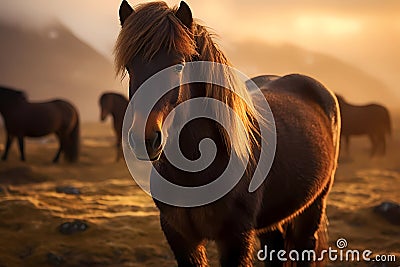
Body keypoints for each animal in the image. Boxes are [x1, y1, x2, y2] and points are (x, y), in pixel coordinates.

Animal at [114, 1, 340, 266]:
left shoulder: (235, 238)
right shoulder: (180, 237)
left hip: (313, 206)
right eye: (129, 67)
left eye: (179, 66)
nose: (145, 139)